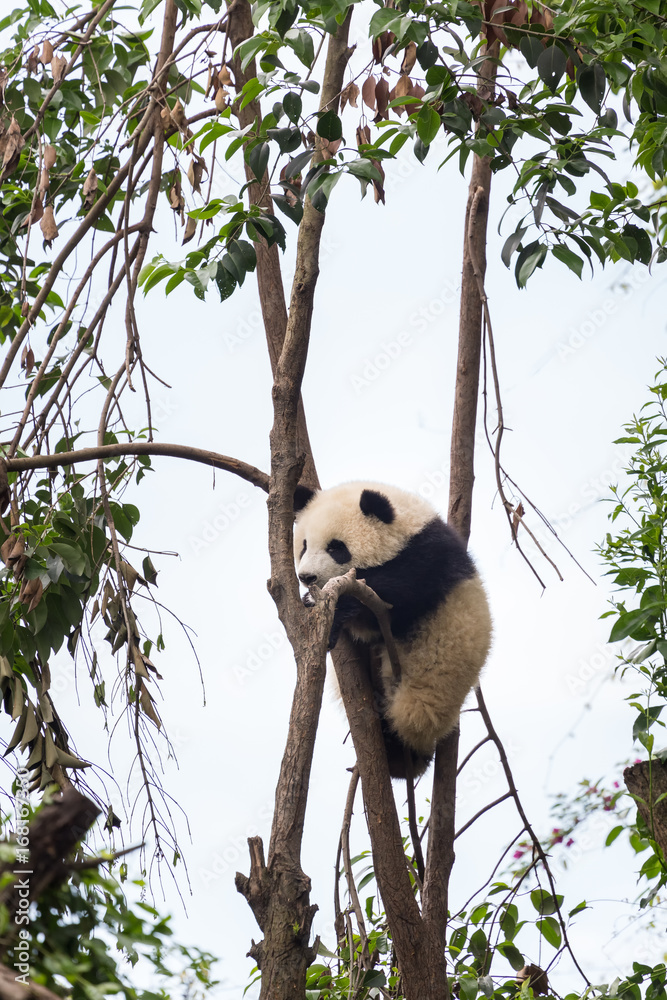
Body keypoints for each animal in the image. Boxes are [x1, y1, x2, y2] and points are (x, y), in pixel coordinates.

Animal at [293, 481, 491, 779]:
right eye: (304, 545)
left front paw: (333, 608)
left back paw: (398, 750)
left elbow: (399, 593)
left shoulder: (430, 558)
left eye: (336, 547)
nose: (307, 577)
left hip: (431, 685)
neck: (406, 530)